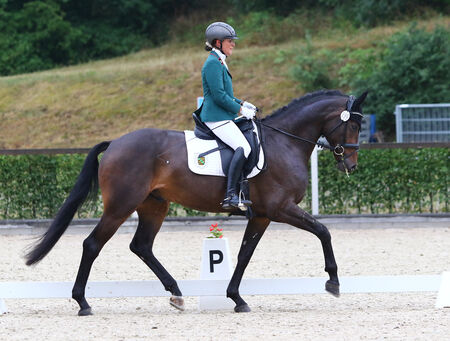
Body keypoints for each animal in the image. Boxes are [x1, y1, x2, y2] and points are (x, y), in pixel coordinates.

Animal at [24, 89, 368, 314]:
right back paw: (83, 302)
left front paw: (236, 298)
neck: (284, 142)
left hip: (154, 205)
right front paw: (333, 282)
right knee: (93, 245)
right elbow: (323, 231)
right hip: (121, 206)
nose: (351, 165)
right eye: (353, 124)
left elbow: (244, 255)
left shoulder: (261, 215)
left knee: (141, 246)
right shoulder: (280, 208)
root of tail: (116, 143)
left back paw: (176, 294)